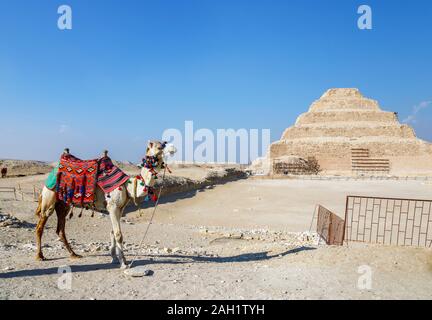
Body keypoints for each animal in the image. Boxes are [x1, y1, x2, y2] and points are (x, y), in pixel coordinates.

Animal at [33, 141, 176, 268]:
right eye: (159, 147)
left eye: (164, 143)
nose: (173, 148)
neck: (126, 186)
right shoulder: (112, 207)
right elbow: (118, 234)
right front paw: (123, 263)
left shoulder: (120, 209)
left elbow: (112, 232)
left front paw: (114, 258)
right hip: (49, 198)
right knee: (40, 226)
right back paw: (40, 256)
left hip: (63, 204)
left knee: (60, 229)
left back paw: (74, 254)